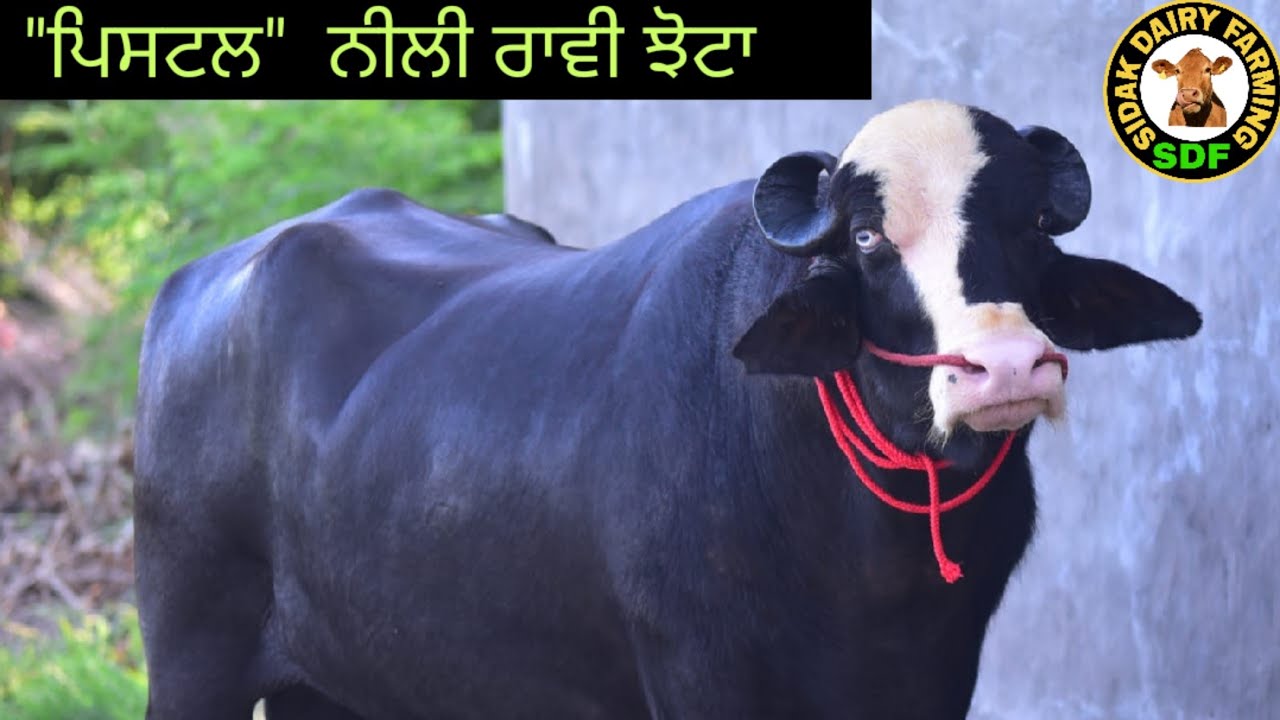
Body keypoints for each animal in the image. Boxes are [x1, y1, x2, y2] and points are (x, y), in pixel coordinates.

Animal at [132, 98, 1203, 720]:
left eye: (1029, 228)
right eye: (866, 237)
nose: (1006, 364)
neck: (865, 554)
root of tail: (199, 283)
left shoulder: (940, 673)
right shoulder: (699, 677)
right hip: (191, 655)